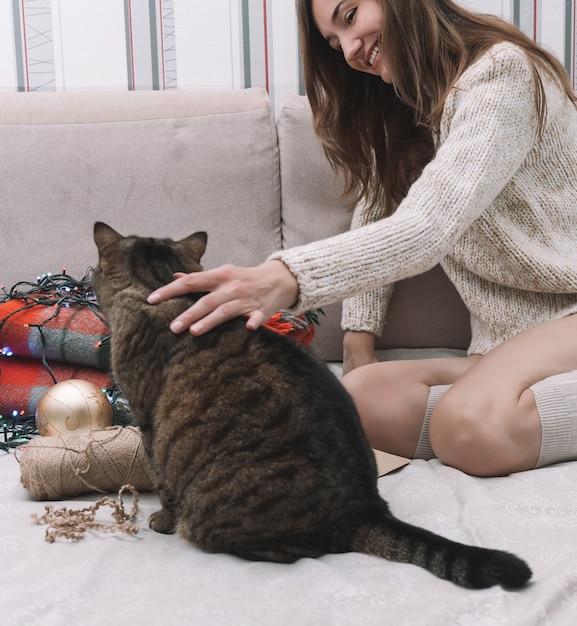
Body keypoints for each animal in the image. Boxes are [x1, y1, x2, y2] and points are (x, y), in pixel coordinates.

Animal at [92, 222, 528, 588]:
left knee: (297, 552)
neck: (160, 286)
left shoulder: (149, 420)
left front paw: (162, 520)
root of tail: (365, 510)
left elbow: (162, 480)